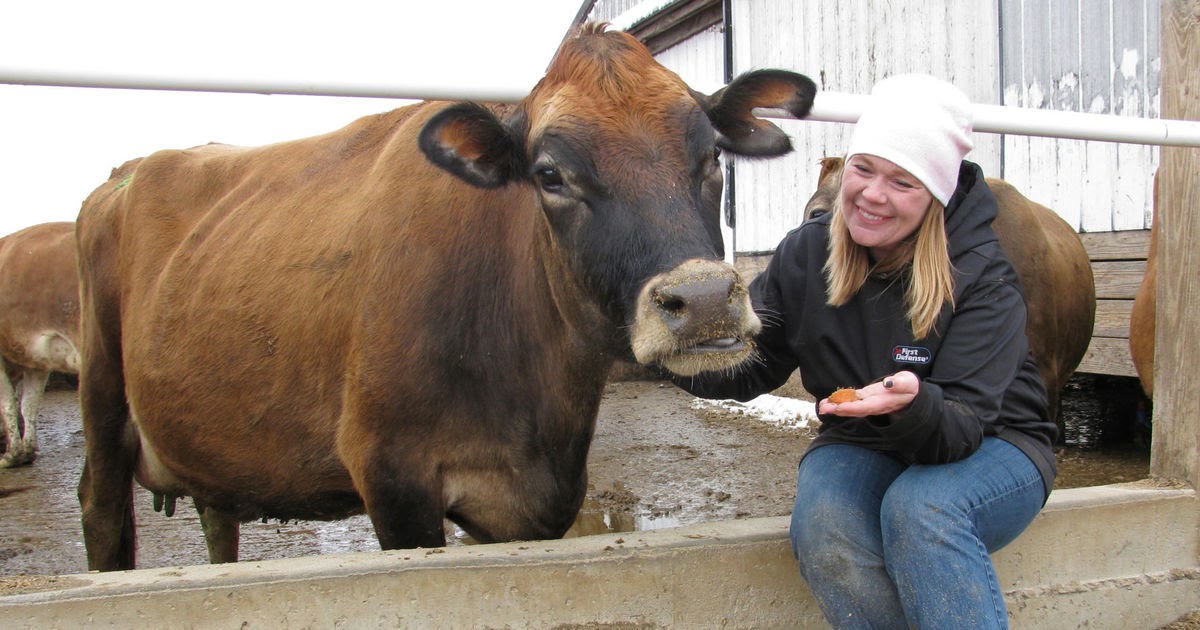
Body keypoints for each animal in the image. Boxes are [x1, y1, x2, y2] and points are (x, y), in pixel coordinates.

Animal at [74, 23, 818, 571]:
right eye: (549, 174)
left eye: (713, 155)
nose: (704, 298)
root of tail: (125, 175)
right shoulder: (391, 476)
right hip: (102, 395)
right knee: (101, 511)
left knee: (215, 515)